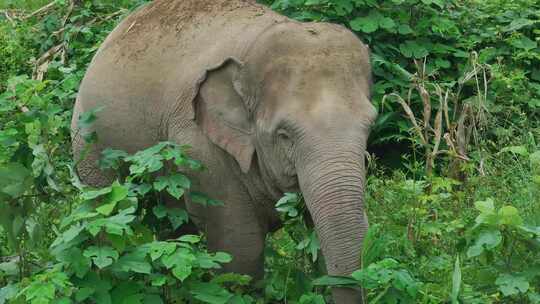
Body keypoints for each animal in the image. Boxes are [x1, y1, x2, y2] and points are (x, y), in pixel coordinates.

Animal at [70, 1, 376, 302]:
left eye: (370, 124)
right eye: (284, 135)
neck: (252, 49)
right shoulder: (201, 150)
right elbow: (239, 249)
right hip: (88, 140)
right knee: (105, 211)